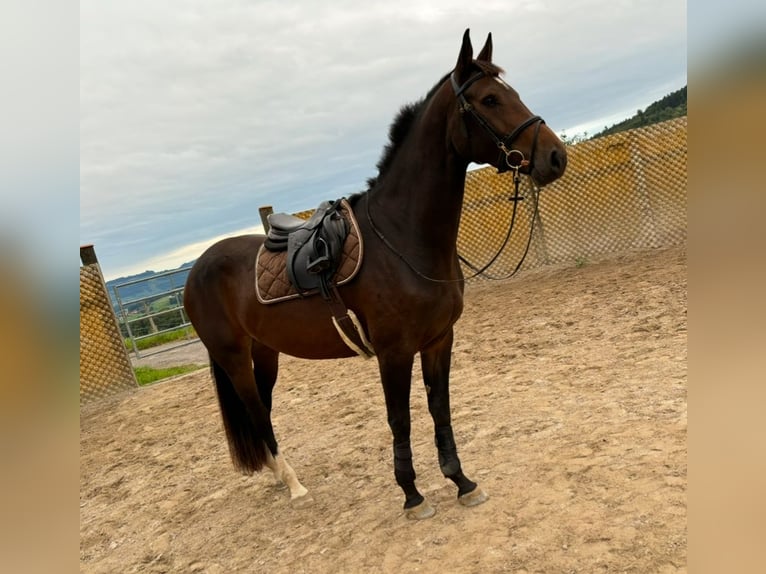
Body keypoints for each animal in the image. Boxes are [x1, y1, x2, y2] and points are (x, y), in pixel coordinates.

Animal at [184, 29, 568, 520]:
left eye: (512, 93)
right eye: (489, 99)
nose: (555, 157)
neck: (402, 238)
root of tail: (198, 268)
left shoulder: (439, 340)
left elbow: (440, 409)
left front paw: (461, 481)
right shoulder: (394, 351)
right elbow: (399, 418)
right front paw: (412, 495)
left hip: (265, 353)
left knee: (263, 410)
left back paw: (277, 475)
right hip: (233, 357)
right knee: (254, 411)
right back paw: (294, 485)